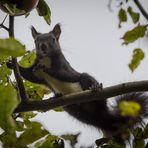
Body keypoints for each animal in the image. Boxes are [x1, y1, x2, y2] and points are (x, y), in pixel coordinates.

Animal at [6, 24, 148, 145]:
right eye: (36, 40)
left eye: (53, 39)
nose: (43, 46)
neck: (46, 59)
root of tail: (104, 117)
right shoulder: (36, 73)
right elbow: (29, 75)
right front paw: (11, 64)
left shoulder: (64, 67)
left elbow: (62, 74)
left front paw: (45, 68)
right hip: (73, 110)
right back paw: (57, 96)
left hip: (87, 83)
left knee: (88, 82)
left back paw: (95, 87)